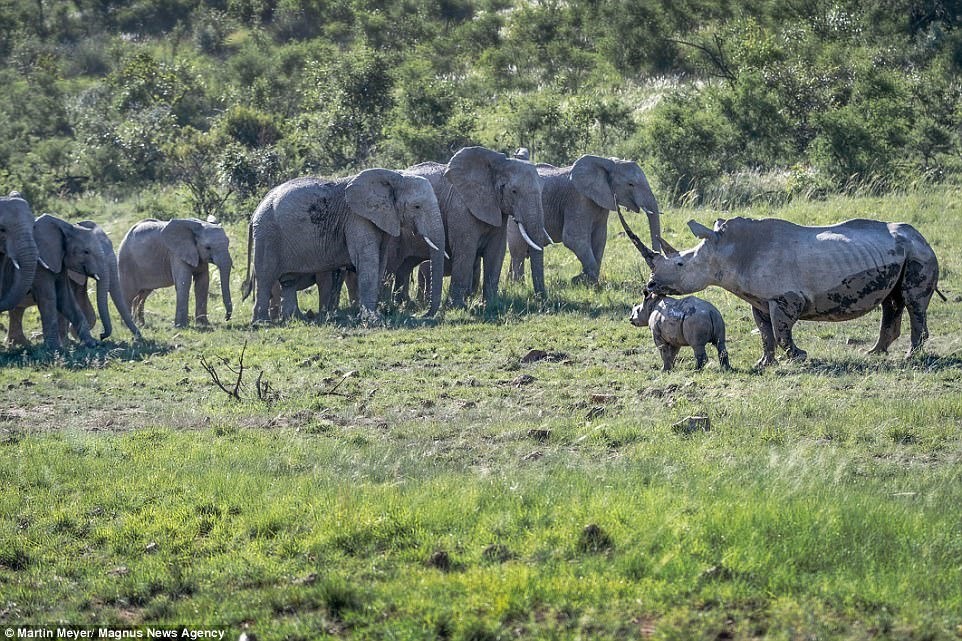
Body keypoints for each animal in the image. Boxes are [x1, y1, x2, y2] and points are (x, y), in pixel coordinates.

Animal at [3, 212, 104, 348]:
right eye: (86, 252)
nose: (102, 336)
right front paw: (57, 347)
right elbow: (49, 297)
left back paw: (21, 344)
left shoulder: (59, 261)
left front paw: (92, 343)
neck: (65, 226)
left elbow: (65, 297)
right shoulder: (40, 265)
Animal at [244, 168, 446, 322]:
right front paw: (373, 319)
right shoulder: (357, 218)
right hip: (268, 234)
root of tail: (256, 211)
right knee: (266, 276)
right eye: (417, 206)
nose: (425, 314)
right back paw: (262, 323)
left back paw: (295, 319)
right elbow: (367, 261)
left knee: (288, 281)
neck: (394, 175)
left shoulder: (383, 218)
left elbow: (380, 261)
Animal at [502, 155, 660, 288]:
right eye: (631, 184)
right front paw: (579, 280)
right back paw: (518, 286)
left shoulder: (601, 203)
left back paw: (512, 284)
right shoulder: (578, 199)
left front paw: (585, 281)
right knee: (518, 250)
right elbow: (573, 238)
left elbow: (599, 239)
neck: (606, 162)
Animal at [620, 214, 940, 368]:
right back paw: (874, 353)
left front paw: (799, 357)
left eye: (680, 263)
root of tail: (922, 236)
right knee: (892, 302)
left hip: (918, 253)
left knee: (913, 302)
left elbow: (782, 330)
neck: (726, 251)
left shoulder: (784, 297)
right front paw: (764, 364)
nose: (650, 285)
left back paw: (909, 357)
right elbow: (766, 332)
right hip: (901, 252)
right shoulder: (759, 299)